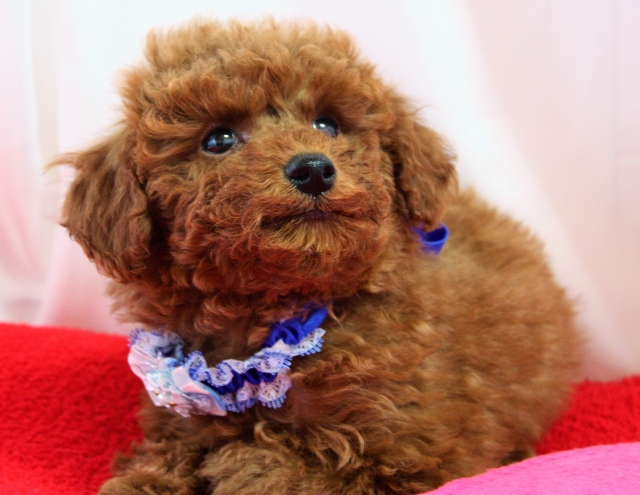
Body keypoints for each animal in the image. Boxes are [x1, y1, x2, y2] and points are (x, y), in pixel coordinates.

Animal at [55, 18, 580, 495]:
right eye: (218, 140)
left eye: (328, 123)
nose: (312, 168)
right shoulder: (184, 416)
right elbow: (166, 457)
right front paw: (150, 479)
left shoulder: (414, 454)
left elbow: (294, 469)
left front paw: (240, 465)